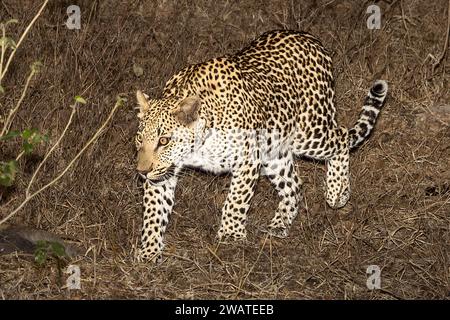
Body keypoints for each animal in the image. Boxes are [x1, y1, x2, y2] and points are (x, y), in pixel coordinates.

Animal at [134, 29, 386, 262]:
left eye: (164, 141)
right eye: (139, 140)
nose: (142, 172)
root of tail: (308, 37)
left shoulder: (247, 159)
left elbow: (236, 200)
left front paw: (230, 236)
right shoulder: (163, 172)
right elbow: (154, 211)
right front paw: (149, 251)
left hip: (308, 133)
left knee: (341, 137)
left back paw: (337, 192)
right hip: (275, 150)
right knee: (294, 184)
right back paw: (280, 223)